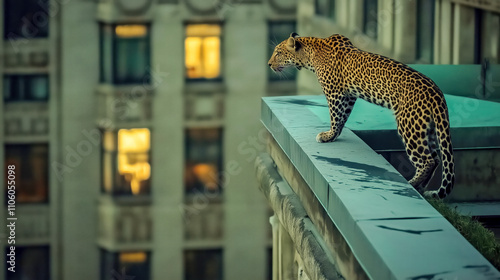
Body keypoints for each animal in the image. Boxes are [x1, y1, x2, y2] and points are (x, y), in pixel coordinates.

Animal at [268, 32, 456, 199]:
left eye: (278, 53)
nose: (269, 64)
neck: (311, 52)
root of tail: (437, 94)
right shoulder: (349, 96)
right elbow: (342, 117)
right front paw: (334, 135)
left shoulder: (335, 93)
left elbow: (335, 115)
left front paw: (328, 135)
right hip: (428, 128)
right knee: (436, 158)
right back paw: (421, 187)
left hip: (409, 126)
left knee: (427, 160)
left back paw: (412, 183)